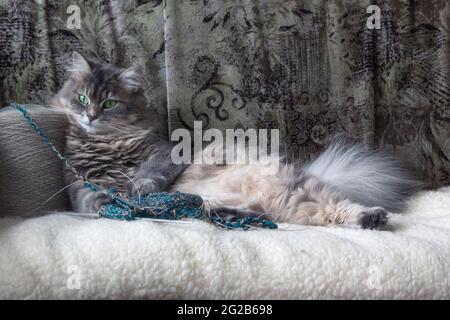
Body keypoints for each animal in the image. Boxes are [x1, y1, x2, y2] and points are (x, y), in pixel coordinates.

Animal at [51, 53, 424, 230]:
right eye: (83, 99)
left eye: (110, 104)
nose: (91, 116)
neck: (110, 145)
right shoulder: (77, 182)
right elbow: (92, 196)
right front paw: (114, 201)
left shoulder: (166, 154)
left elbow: (148, 175)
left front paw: (133, 191)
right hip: (282, 202)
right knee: (265, 212)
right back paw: (226, 213)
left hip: (294, 191)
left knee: (337, 208)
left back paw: (372, 217)